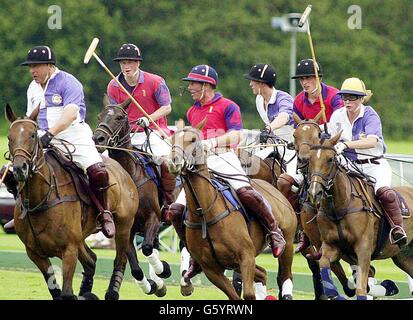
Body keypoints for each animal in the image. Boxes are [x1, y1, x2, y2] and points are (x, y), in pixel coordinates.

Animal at [5, 105, 140, 300]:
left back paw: (112, 292)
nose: (19, 169)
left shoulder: (69, 249)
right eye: (9, 137)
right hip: (82, 236)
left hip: (124, 225)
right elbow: (56, 291)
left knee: (120, 259)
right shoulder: (35, 253)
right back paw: (86, 292)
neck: (39, 200)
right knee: (91, 260)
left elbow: (67, 293)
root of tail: (123, 169)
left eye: (33, 135)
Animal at [91, 96, 172, 296]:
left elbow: (147, 248)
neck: (130, 176)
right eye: (99, 116)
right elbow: (135, 267)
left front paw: (164, 269)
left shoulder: (154, 217)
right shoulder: (125, 227)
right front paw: (153, 285)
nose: (98, 138)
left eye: (119, 117)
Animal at [165, 120, 296, 300]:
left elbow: (248, 294)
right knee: (262, 273)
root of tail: (274, 187)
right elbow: (234, 296)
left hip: (288, 243)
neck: (205, 212)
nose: (174, 162)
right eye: (171, 139)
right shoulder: (211, 269)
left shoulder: (246, 255)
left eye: (193, 140)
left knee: (285, 275)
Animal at [306, 131, 412, 298]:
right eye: (309, 159)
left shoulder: (363, 249)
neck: (339, 208)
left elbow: (361, 288)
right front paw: (333, 292)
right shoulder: (332, 246)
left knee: (387, 194)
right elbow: (324, 263)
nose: (314, 192)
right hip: (403, 256)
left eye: (330, 159)